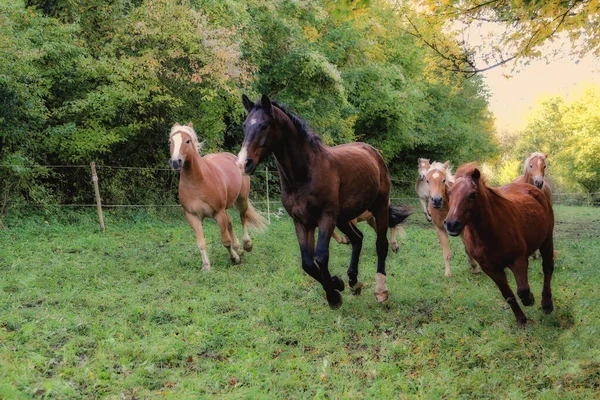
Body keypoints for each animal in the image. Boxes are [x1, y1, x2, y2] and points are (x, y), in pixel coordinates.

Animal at [168, 122, 264, 272]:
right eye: (171, 141)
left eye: (187, 141)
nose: (175, 162)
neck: (197, 183)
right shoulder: (192, 216)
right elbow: (201, 243)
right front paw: (206, 266)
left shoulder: (218, 213)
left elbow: (225, 241)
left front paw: (234, 258)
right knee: (230, 222)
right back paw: (238, 248)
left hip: (241, 200)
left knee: (243, 218)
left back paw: (247, 244)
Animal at [237, 95, 410, 308]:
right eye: (245, 125)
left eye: (264, 126)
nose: (244, 163)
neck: (304, 174)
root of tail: (373, 152)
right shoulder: (302, 222)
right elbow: (308, 263)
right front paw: (337, 284)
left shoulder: (326, 217)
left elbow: (320, 256)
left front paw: (334, 296)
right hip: (343, 217)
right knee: (357, 239)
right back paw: (354, 282)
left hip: (378, 207)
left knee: (381, 244)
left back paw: (381, 290)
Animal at [442, 162, 556, 324]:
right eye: (450, 193)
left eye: (472, 194)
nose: (452, 224)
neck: (490, 234)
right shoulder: (491, 269)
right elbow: (507, 294)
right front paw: (521, 319)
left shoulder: (518, 260)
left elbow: (522, 290)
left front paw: (530, 299)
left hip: (546, 240)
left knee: (547, 268)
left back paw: (546, 304)